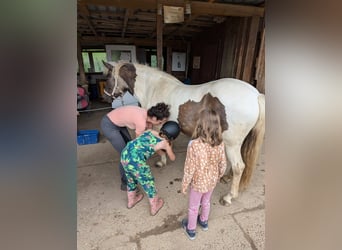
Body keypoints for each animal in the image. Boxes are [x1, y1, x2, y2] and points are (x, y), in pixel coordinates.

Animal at [101, 61, 264, 205]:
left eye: (108, 77)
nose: (105, 97)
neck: (153, 87)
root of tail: (255, 95)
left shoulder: (156, 127)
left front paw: (161, 161)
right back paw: (226, 177)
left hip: (232, 144)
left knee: (238, 167)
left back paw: (229, 197)